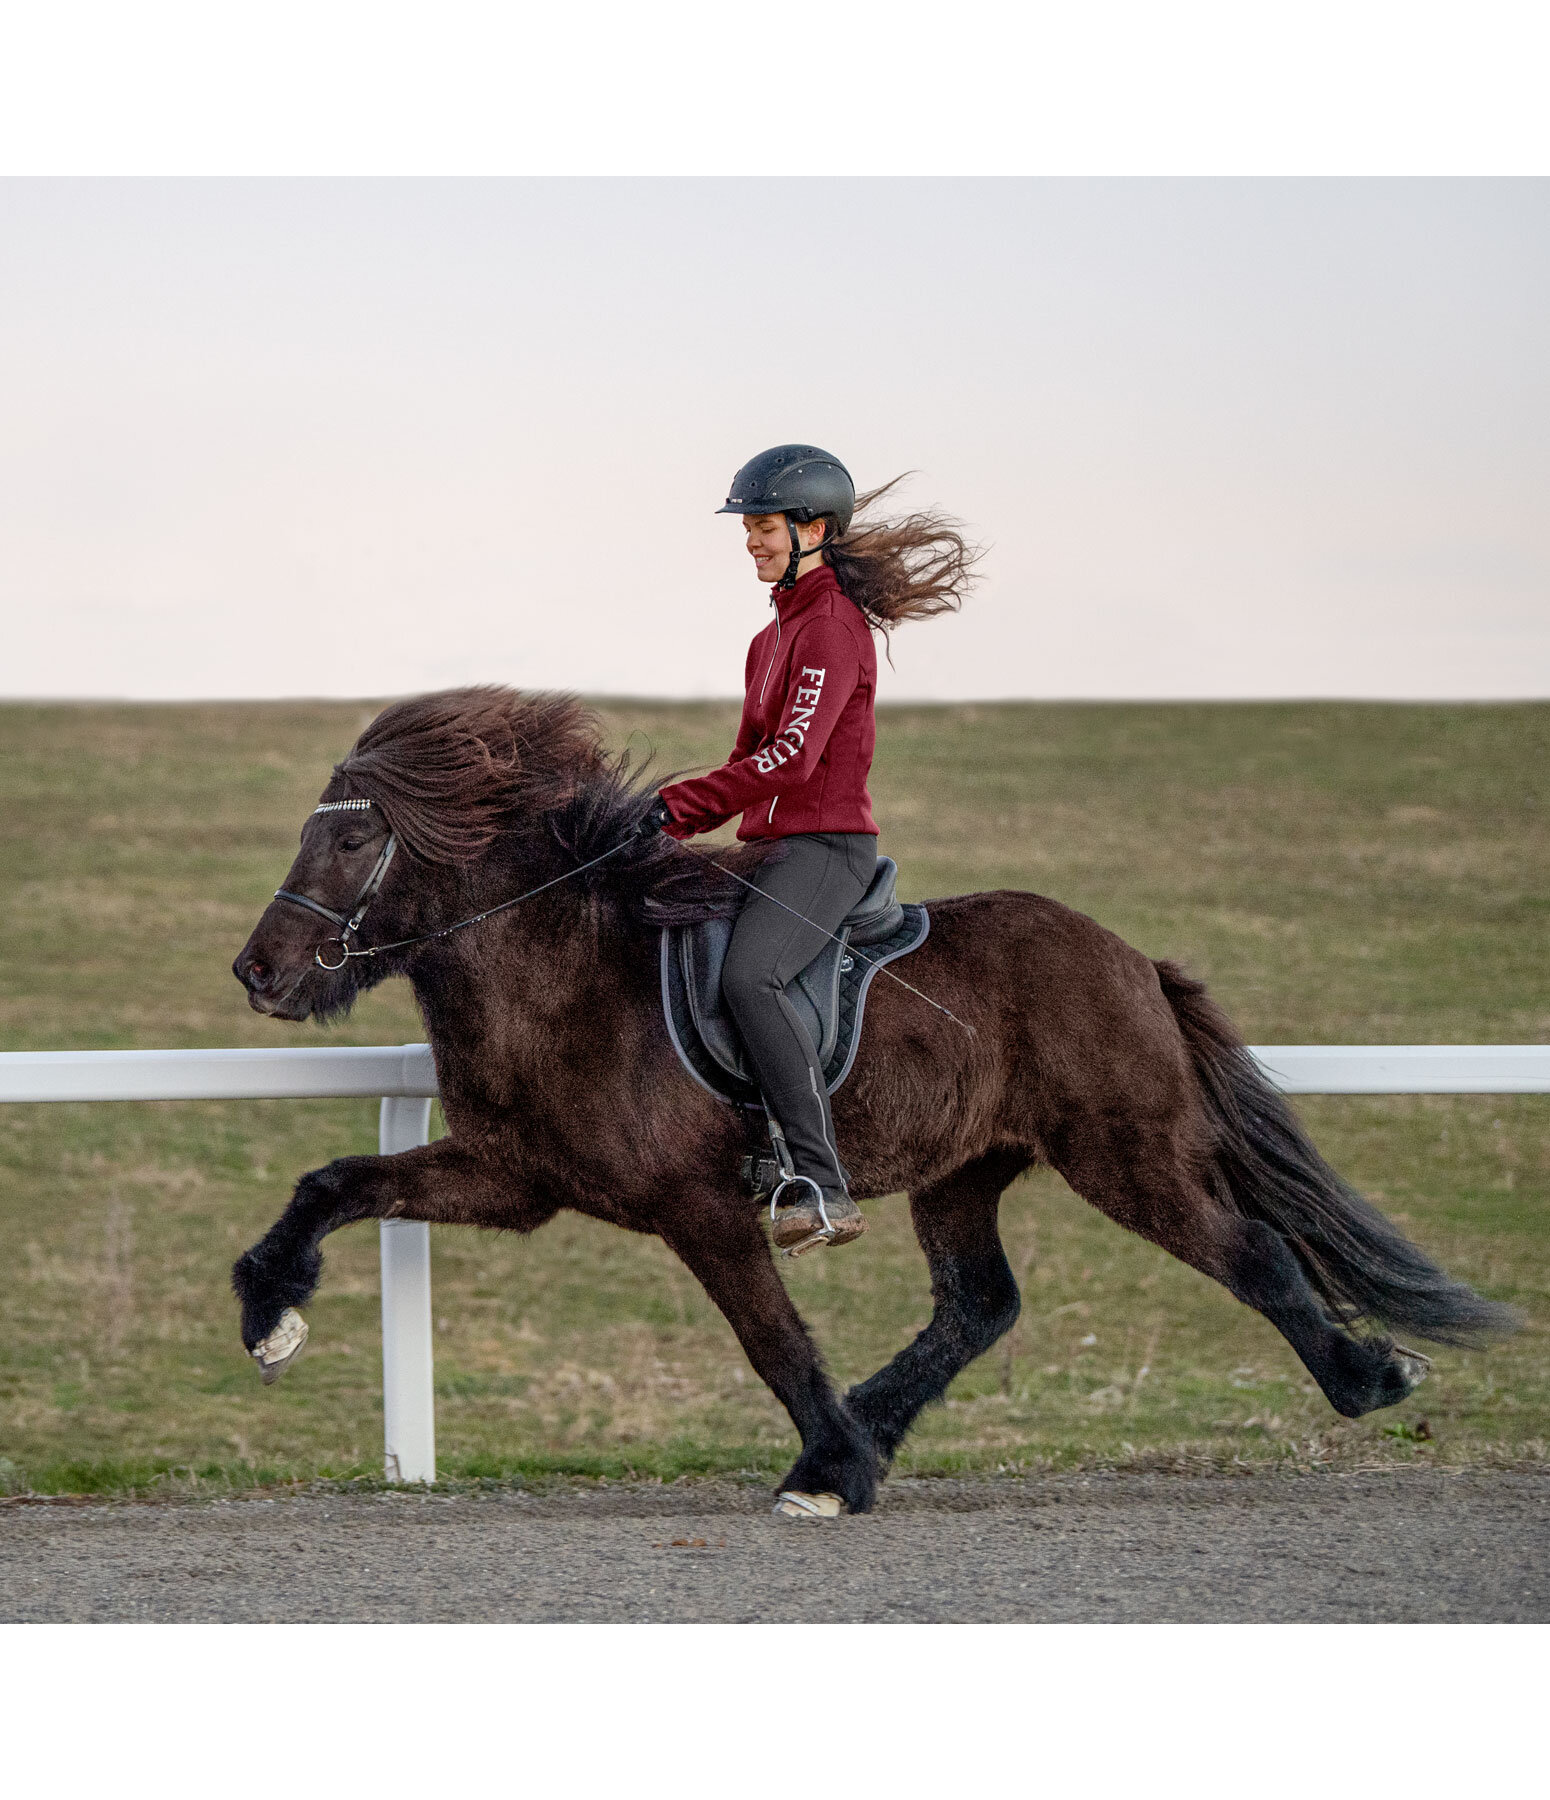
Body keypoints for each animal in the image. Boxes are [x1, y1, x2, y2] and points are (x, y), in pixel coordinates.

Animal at [229, 687, 1512, 1519]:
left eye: (352, 838)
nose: (259, 972)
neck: (566, 974)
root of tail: (1131, 960)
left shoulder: (700, 1206)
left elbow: (769, 1339)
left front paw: (831, 1465)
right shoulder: (514, 1175)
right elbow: (333, 1184)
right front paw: (268, 1316)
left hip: (1124, 1153)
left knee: (1246, 1252)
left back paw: (1368, 1379)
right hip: (965, 1169)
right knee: (979, 1305)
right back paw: (868, 1432)